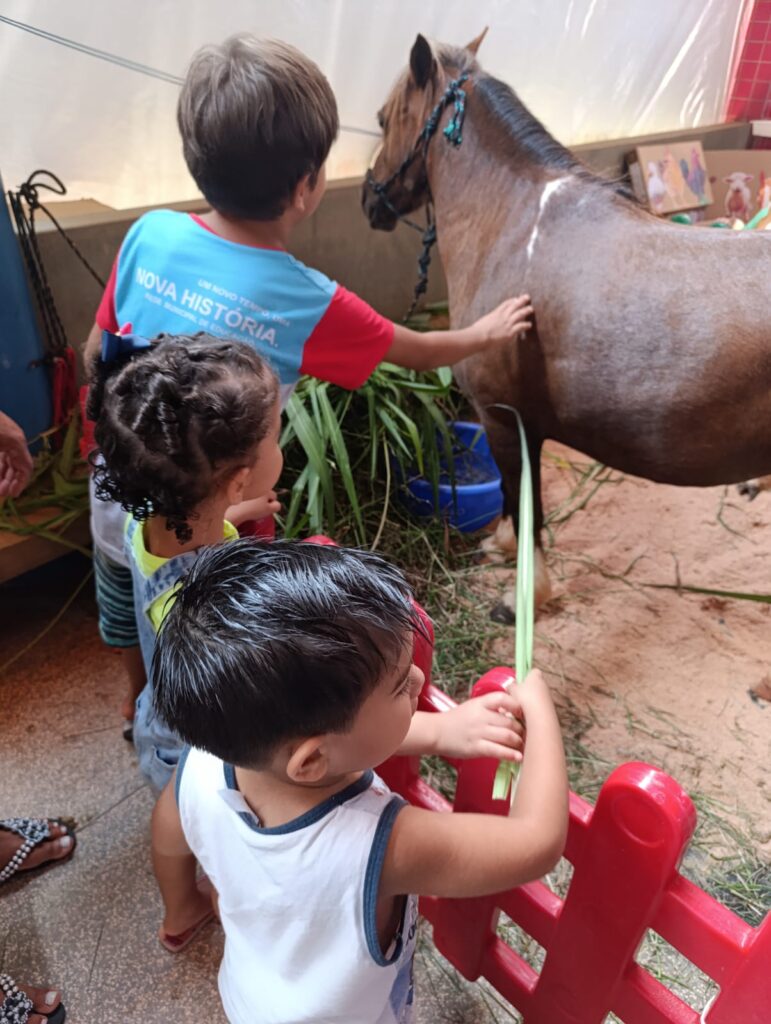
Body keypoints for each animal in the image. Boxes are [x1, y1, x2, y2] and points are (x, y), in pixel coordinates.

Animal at [360, 32, 769, 606]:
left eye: (382, 118)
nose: (367, 199)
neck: (513, 224)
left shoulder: (504, 417)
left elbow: (522, 498)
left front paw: (524, 593)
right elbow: (518, 499)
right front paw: (504, 549)